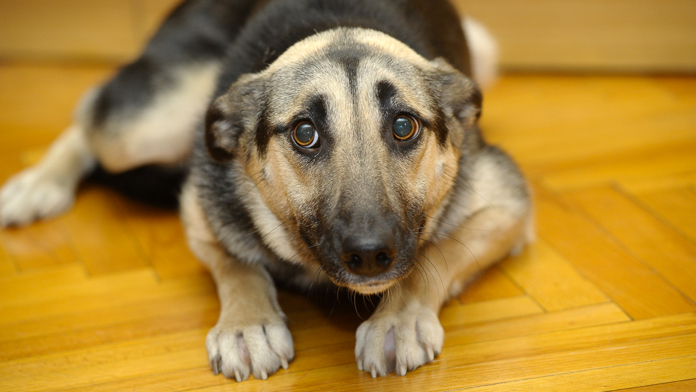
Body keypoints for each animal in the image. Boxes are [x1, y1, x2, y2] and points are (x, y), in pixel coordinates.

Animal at [1, 0, 532, 382]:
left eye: (404, 126)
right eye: (304, 133)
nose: (369, 255)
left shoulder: (509, 207)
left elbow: (434, 254)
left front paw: (398, 318)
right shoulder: (199, 208)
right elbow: (237, 263)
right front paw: (247, 323)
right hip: (146, 124)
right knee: (90, 113)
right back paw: (37, 183)